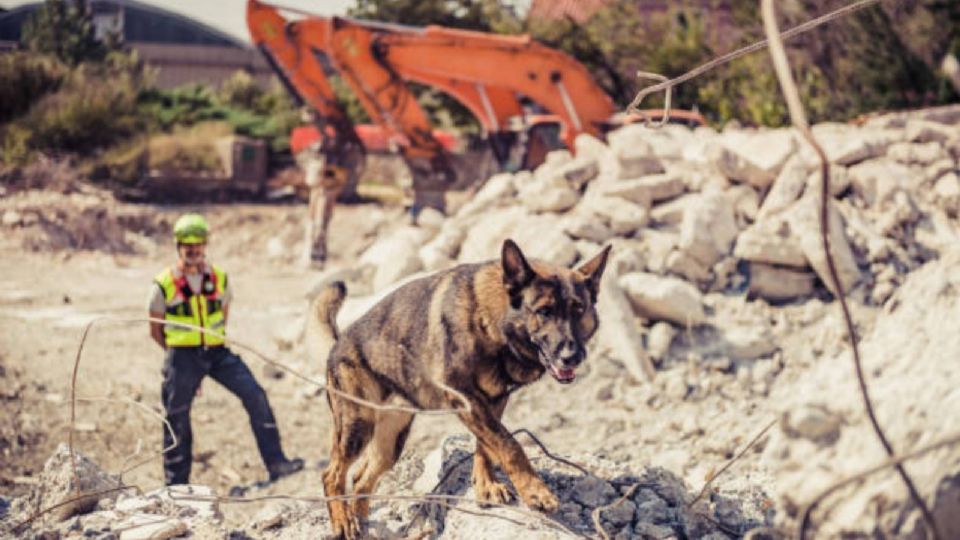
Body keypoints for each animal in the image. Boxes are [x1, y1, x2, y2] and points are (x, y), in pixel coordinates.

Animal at [316, 240, 616, 540]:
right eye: (544, 311)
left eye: (578, 309)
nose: (571, 357)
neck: (493, 321)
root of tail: (338, 343)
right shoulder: (465, 398)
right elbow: (510, 445)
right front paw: (535, 491)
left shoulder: (494, 400)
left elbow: (487, 445)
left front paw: (486, 485)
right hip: (357, 426)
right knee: (332, 474)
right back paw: (342, 520)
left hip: (390, 443)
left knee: (360, 479)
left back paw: (360, 520)